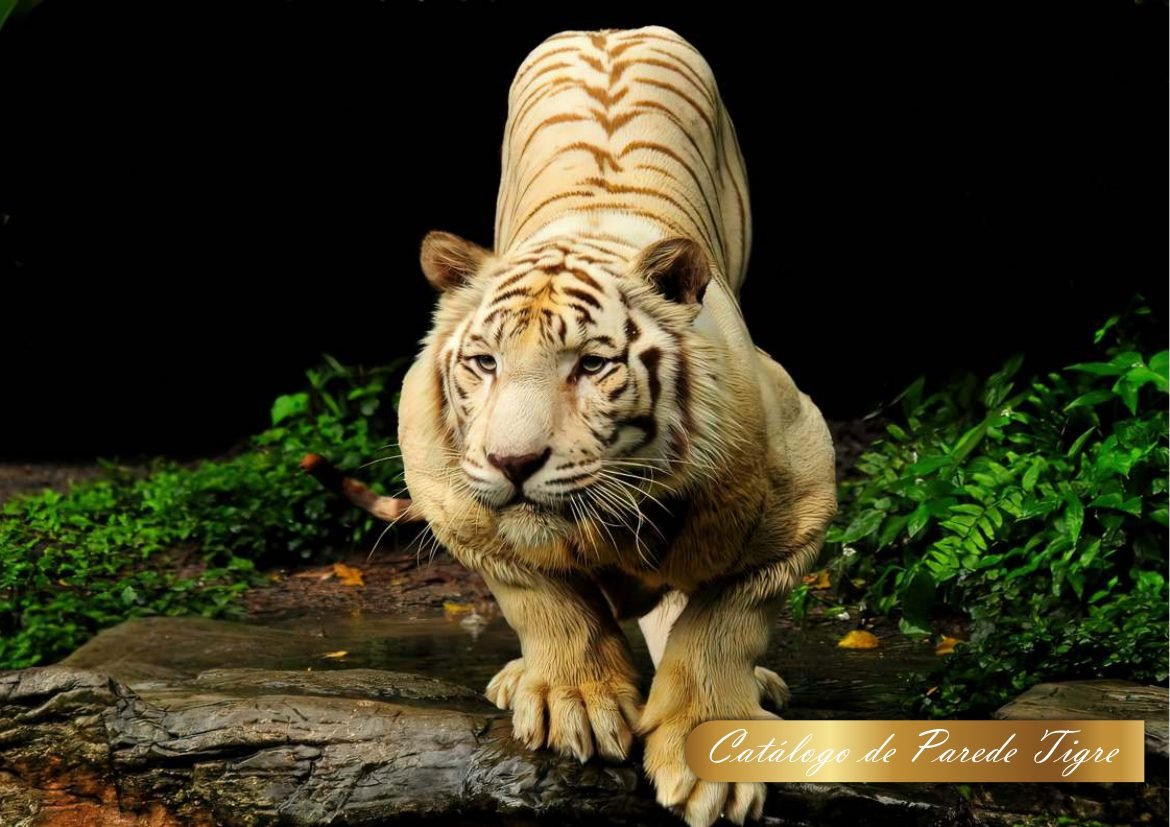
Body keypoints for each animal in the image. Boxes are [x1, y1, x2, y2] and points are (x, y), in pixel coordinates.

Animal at [394, 25, 836, 827]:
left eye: (592, 365)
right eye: (484, 362)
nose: (512, 462)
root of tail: (609, 27)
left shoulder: (802, 489)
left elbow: (722, 623)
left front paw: (712, 757)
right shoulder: (450, 492)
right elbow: (544, 600)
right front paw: (572, 700)